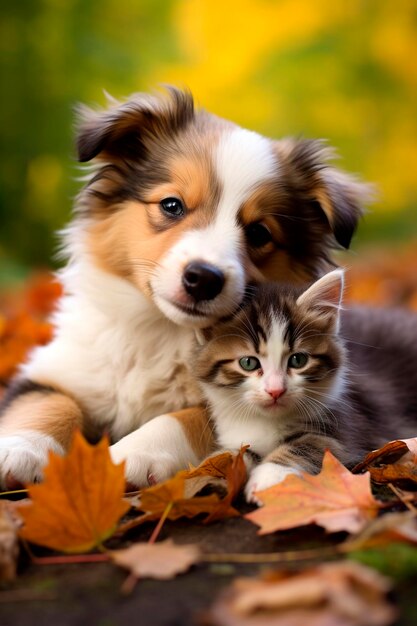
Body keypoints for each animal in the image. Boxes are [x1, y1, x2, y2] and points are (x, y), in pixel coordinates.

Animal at [0, 88, 368, 488]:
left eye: (259, 232)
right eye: (172, 205)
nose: (203, 278)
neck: (161, 330)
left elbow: (188, 416)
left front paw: (132, 452)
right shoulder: (64, 368)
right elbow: (46, 401)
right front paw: (19, 446)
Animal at [194, 270, 416, 502]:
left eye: (298, 360)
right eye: (248, 363)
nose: (275, 390)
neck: (267, 420)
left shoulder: (348, 429)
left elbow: (309, 444)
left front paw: (271, 476)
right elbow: (233, 453)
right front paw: (212, 472)